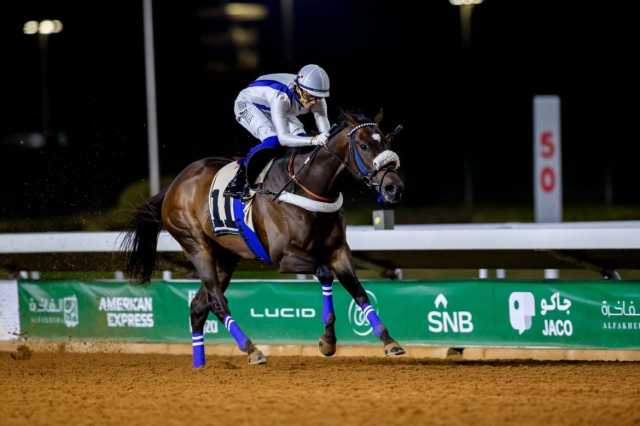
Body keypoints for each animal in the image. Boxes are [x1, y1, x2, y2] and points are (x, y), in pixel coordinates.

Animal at [121, 110, 404, 366]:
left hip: (225, 257)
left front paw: (388, 341)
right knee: (217, 301)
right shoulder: (284, 257)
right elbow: (324, 273)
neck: (308, 188)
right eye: (364, 145)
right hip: (197, 245)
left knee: (199, 307)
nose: (394, 187)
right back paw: (252, 350)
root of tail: (173, 186)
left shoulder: (338, 250)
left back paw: (200, 364)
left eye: (387, 142)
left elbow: (359, 292)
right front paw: (327, 341)